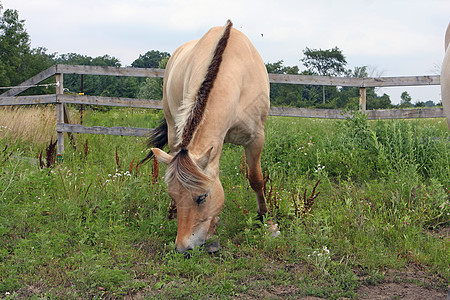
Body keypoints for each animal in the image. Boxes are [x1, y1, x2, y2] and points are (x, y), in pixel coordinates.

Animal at [141, 19, 268, 252]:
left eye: (201, 197)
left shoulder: (256, 138)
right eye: (173, 195)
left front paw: (262, 216)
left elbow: (256, 178)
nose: (182, 249)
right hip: (173, 128)